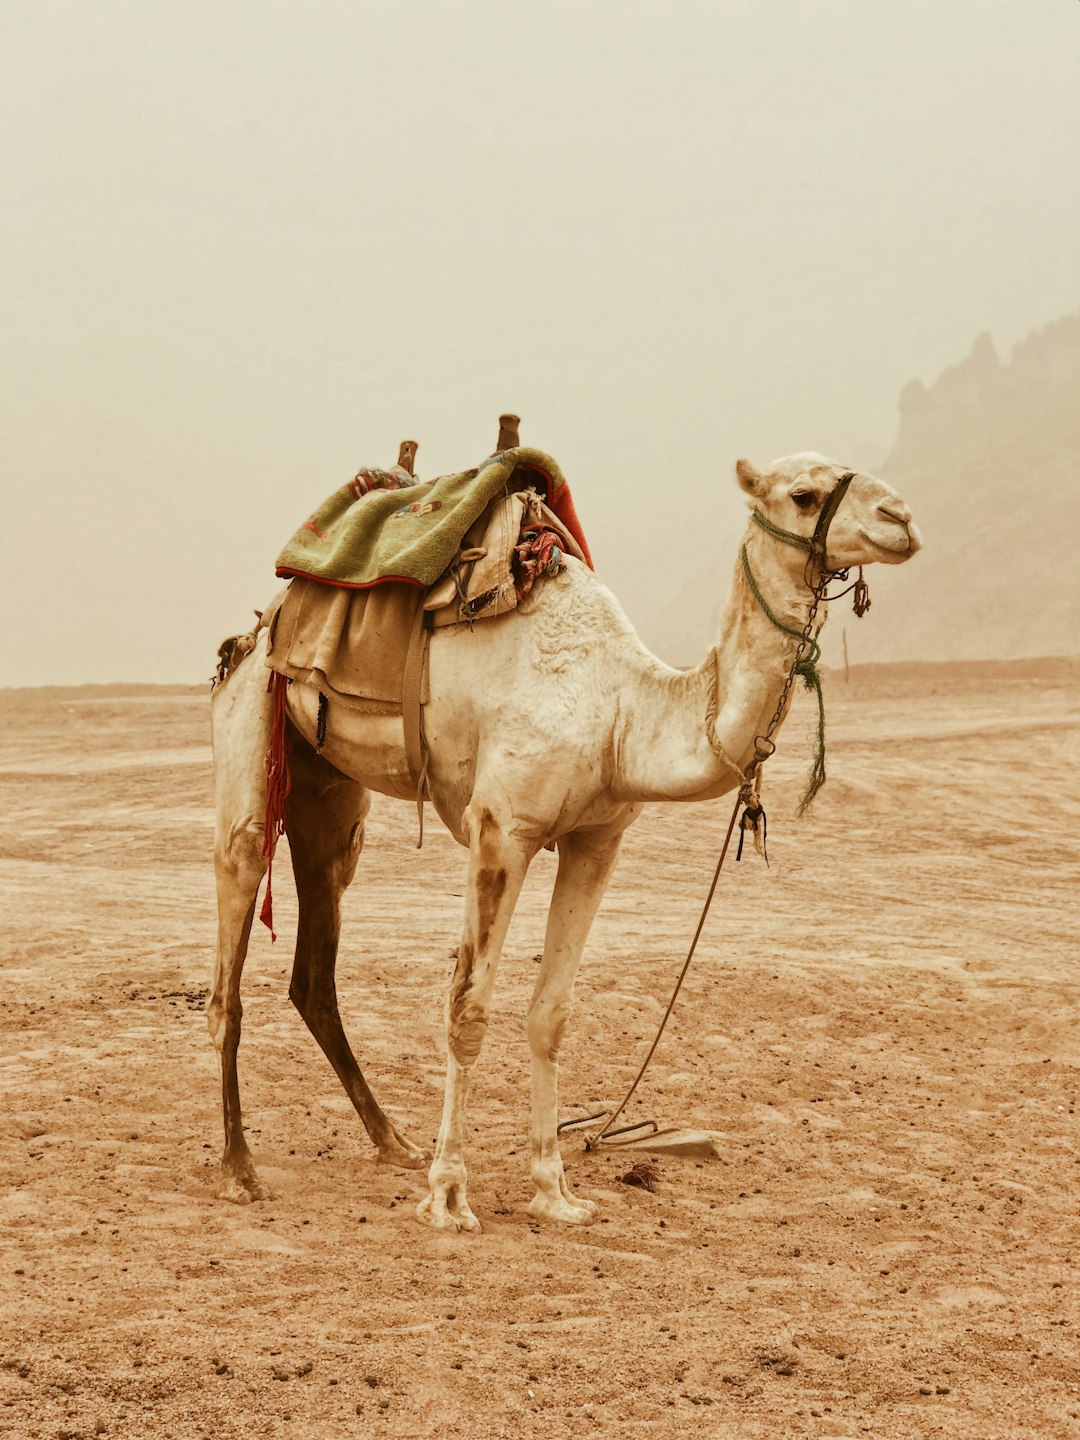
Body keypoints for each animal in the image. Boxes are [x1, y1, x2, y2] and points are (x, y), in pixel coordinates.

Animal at [208, 449, 921, 1226]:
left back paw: (391, 1141)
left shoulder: (596, 841)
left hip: (331, 794)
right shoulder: (502, 829)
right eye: (804, 494)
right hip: (252, 726)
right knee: (230, 955)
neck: (621, 712)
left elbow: (549, 1013)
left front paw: (555, 1191)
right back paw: (241, 1169)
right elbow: (466, 1010)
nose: (902, 519)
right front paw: (450, 1195)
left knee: (315, 963)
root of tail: (260, 627)